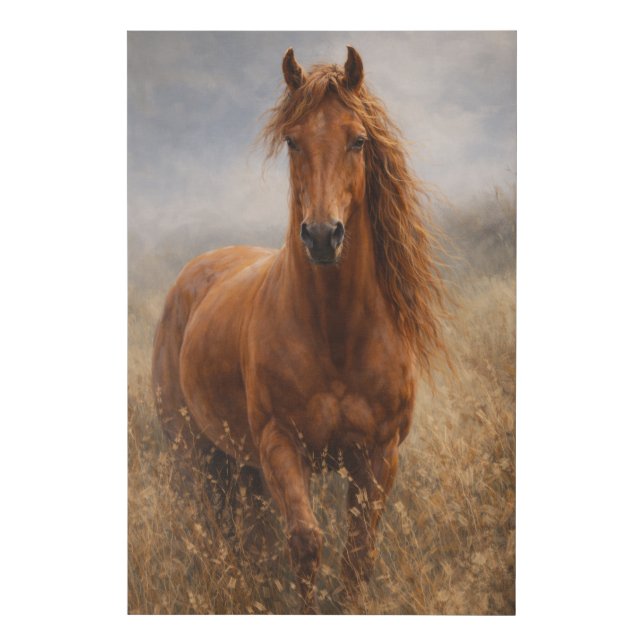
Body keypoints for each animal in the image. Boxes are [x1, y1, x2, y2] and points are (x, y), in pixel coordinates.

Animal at [152, 46, 448, 614]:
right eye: (293, 140)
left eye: (358, 139)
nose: (322, 236)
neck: (335, 334)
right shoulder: (281, 445)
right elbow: (307, 543)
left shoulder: (379, 456)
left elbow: (358, 554)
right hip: (197, 457)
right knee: (217, 533)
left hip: (241, 467)